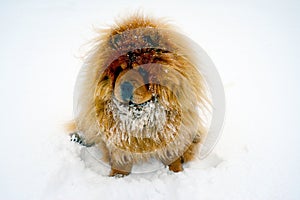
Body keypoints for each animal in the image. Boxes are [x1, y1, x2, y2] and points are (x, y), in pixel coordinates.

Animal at [67, 13, 210, 177]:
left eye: (142, 69)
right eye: (119, 69)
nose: (126, 86)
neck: (139, 116)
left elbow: (172, 155)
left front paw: (176, 172)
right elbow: (120, 158)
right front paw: (117, 177)